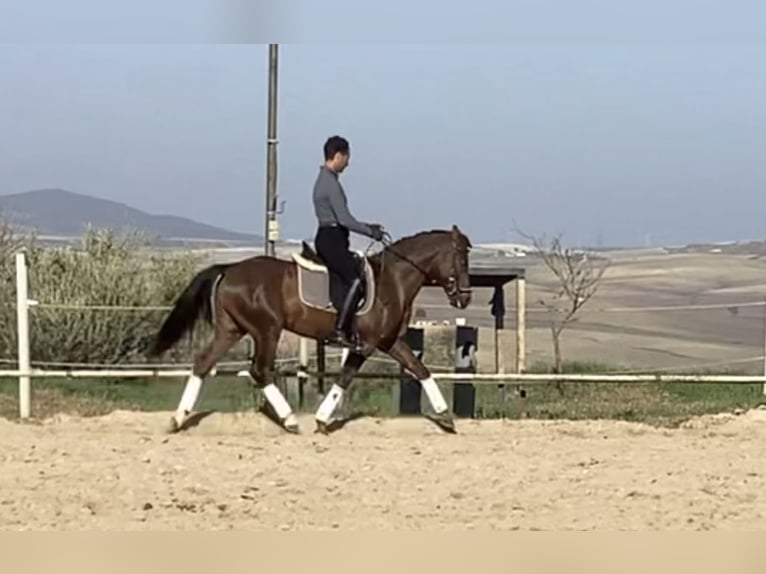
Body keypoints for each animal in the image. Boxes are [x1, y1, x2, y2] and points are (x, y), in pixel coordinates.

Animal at [148, 225, 474, 436]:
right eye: (460, 258)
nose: (465, 298)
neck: (392, 280)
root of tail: (229, 269)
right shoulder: (367, 344)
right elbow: (345, 378)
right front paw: (321, 419)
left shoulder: (390, 341)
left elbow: (421, 370)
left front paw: (446, 417)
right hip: (267, 329)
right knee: (260, 370)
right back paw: (290, 420)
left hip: (232, 330)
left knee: (204, 363)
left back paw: (178, 419)